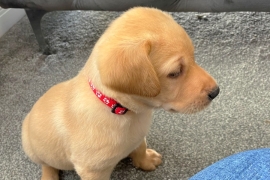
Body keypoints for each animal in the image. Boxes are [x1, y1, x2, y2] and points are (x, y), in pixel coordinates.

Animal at [21, 7, 219, 180]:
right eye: (175, 73)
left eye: (193, 58)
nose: (216, 92)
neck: (123, 110)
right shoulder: (92, 171)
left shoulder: (139, 135)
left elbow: (140, 146)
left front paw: (145, 161)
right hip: (31, 146)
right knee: (46, 164)